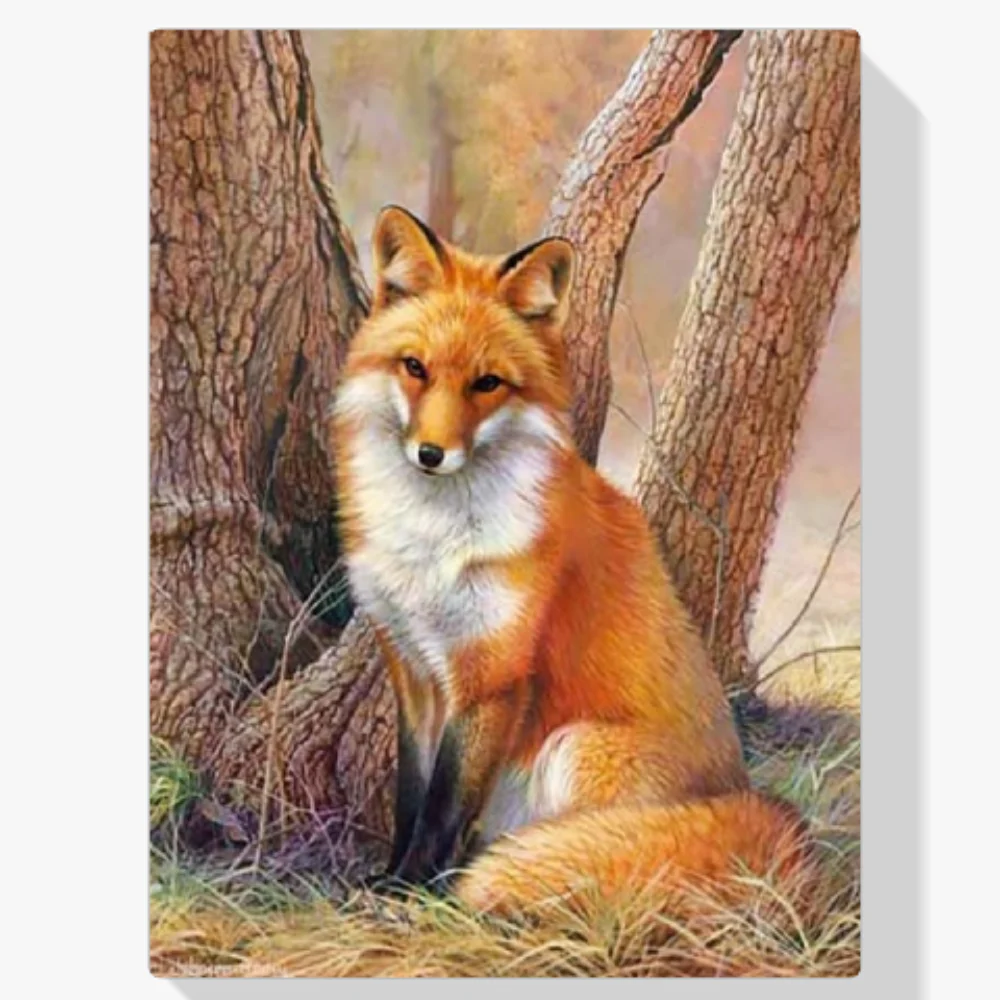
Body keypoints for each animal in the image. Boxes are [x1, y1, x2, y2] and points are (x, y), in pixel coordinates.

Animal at [331, 205, 817, 919]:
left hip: (573, 748)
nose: (431, 454)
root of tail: (744, 795)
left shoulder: (493, 674)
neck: (433, 542)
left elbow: (444, 805)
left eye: (487, 384)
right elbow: (410, 795)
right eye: (414, 367)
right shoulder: (413, 670)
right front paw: (391, 876)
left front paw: (413, 890)